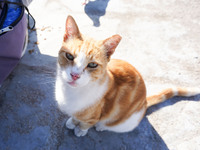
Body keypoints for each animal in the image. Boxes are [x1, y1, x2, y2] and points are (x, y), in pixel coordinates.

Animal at [55, 15, 200, 137]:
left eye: (92, 65)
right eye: (69, 56)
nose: (74, 75)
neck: (70, 92)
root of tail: (144, 103)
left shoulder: (93, 116)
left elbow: (86, 123)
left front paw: (80, 130)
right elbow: (75, 117)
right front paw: (72, 122)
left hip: (125, 123)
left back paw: (101, 127)